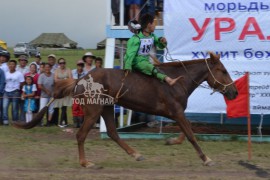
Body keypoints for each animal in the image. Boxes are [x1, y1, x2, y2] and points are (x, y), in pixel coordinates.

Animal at [13, 52, 238, 168]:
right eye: (223, 70)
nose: (234, 91)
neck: (177, 81)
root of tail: (80, 79)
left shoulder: (176, 114)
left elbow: (187, 132)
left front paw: (171, 140)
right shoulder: (176, 112)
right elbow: (191, 133)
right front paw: (207, 159)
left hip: (107, 108)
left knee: (113, 133)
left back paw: (136, 154)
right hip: (93, 111)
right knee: (81, 135)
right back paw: (86, 163)